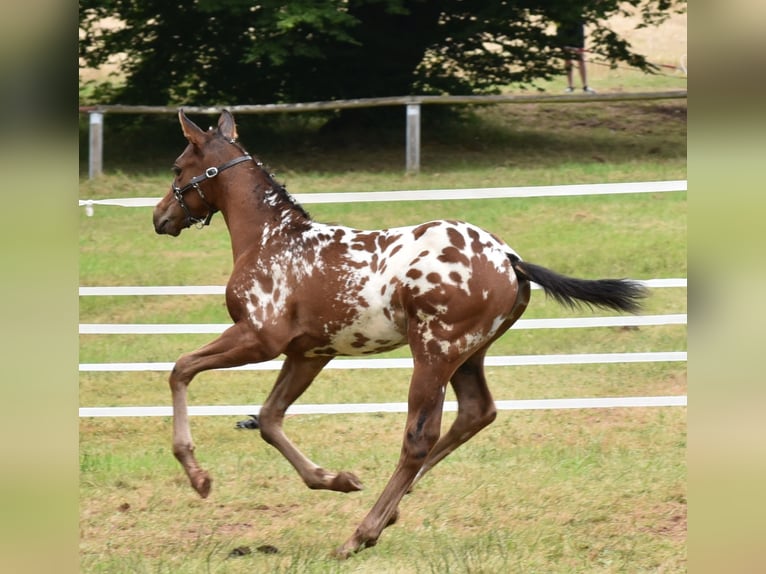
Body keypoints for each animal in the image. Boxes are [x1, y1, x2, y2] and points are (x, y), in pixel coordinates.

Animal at [152, 108, 648, 560]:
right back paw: (390, 510)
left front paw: (198, 477)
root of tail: (509, 259)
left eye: (177, 167)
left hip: (433, 352)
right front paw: (335, 479)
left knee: (419, 440)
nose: (160, 217)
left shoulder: (259, 338)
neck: (270, 238)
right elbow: (270, 420)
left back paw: (361, 534)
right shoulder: (310, 353)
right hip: (467, 355)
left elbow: (181, 370)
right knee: (476, 413)